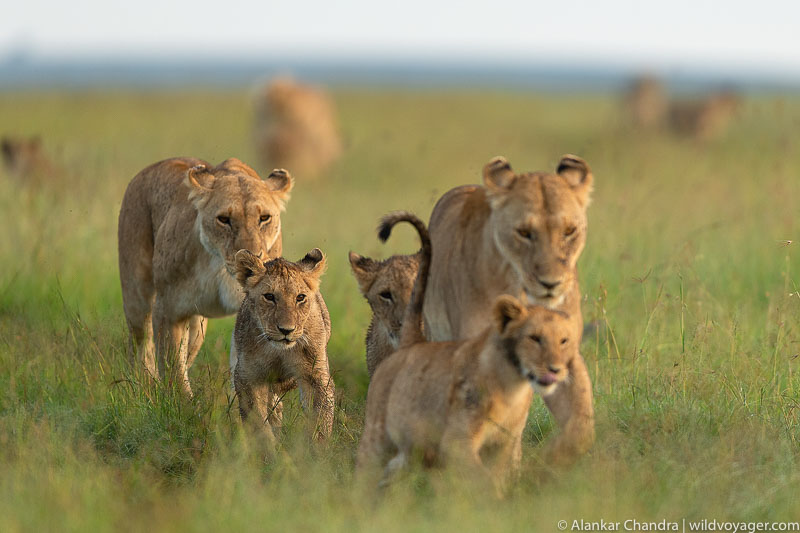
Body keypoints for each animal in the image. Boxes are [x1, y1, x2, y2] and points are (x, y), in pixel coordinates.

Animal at [117, 157, 293, 395]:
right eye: (224, 219)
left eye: (264, 218)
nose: (252, 258)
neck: (220, 269)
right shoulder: (168, 308)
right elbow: (172, 367)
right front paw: (181, 402)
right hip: (137, 295)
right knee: (140, 343)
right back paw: (144, 386)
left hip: (196, 328)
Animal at [232, 248, 335, 442]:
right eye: (269, 297)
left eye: (300, 297)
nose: (286, 330)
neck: (279, 351)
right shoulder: (248, 376)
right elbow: (258, 422)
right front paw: (267, 449)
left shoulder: (316, 375)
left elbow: (320, 419)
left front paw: (316, 449)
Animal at [421, 155, 595, 465]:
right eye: (524, 233)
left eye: (569, 231)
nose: (551, 283)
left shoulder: (565, 350)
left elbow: (581, 422)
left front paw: (551, 459)